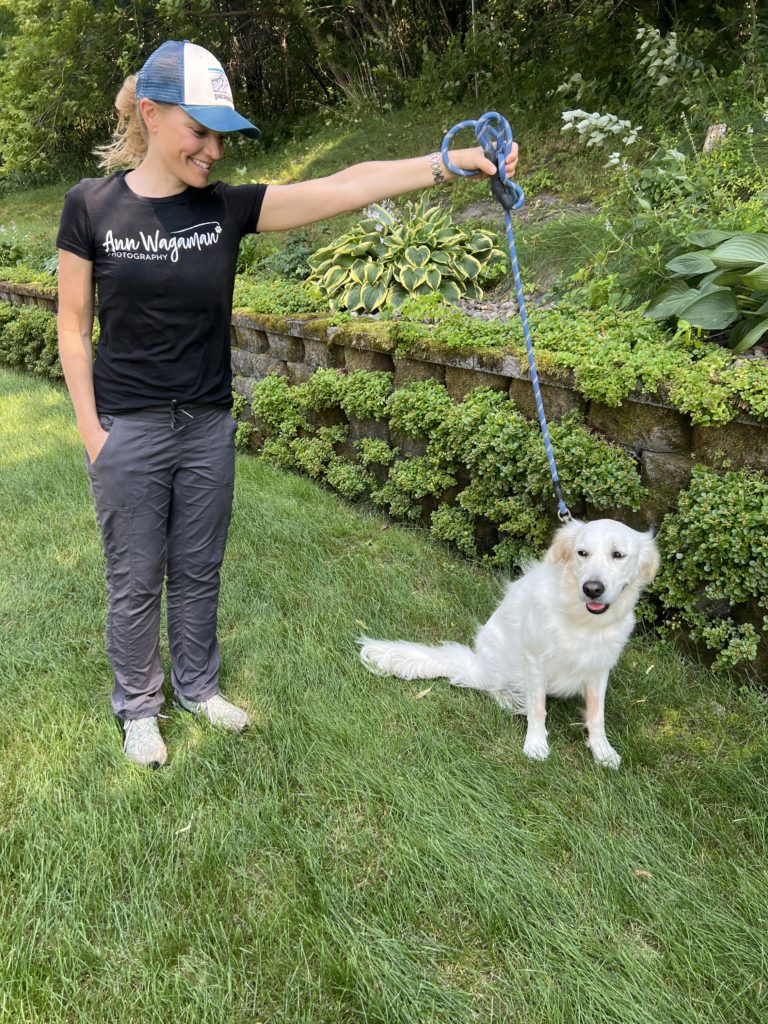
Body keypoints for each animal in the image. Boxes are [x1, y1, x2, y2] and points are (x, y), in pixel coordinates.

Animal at [360, 520, 663, 770]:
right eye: (582, 553)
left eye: (618, 555)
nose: (592, 589)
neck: (581, 620)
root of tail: (476, 663)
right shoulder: (535, 660)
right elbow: (538, 709)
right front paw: (536, 745)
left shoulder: (599, 668)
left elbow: (597, 714)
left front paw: (603, 751)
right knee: (492, 687)